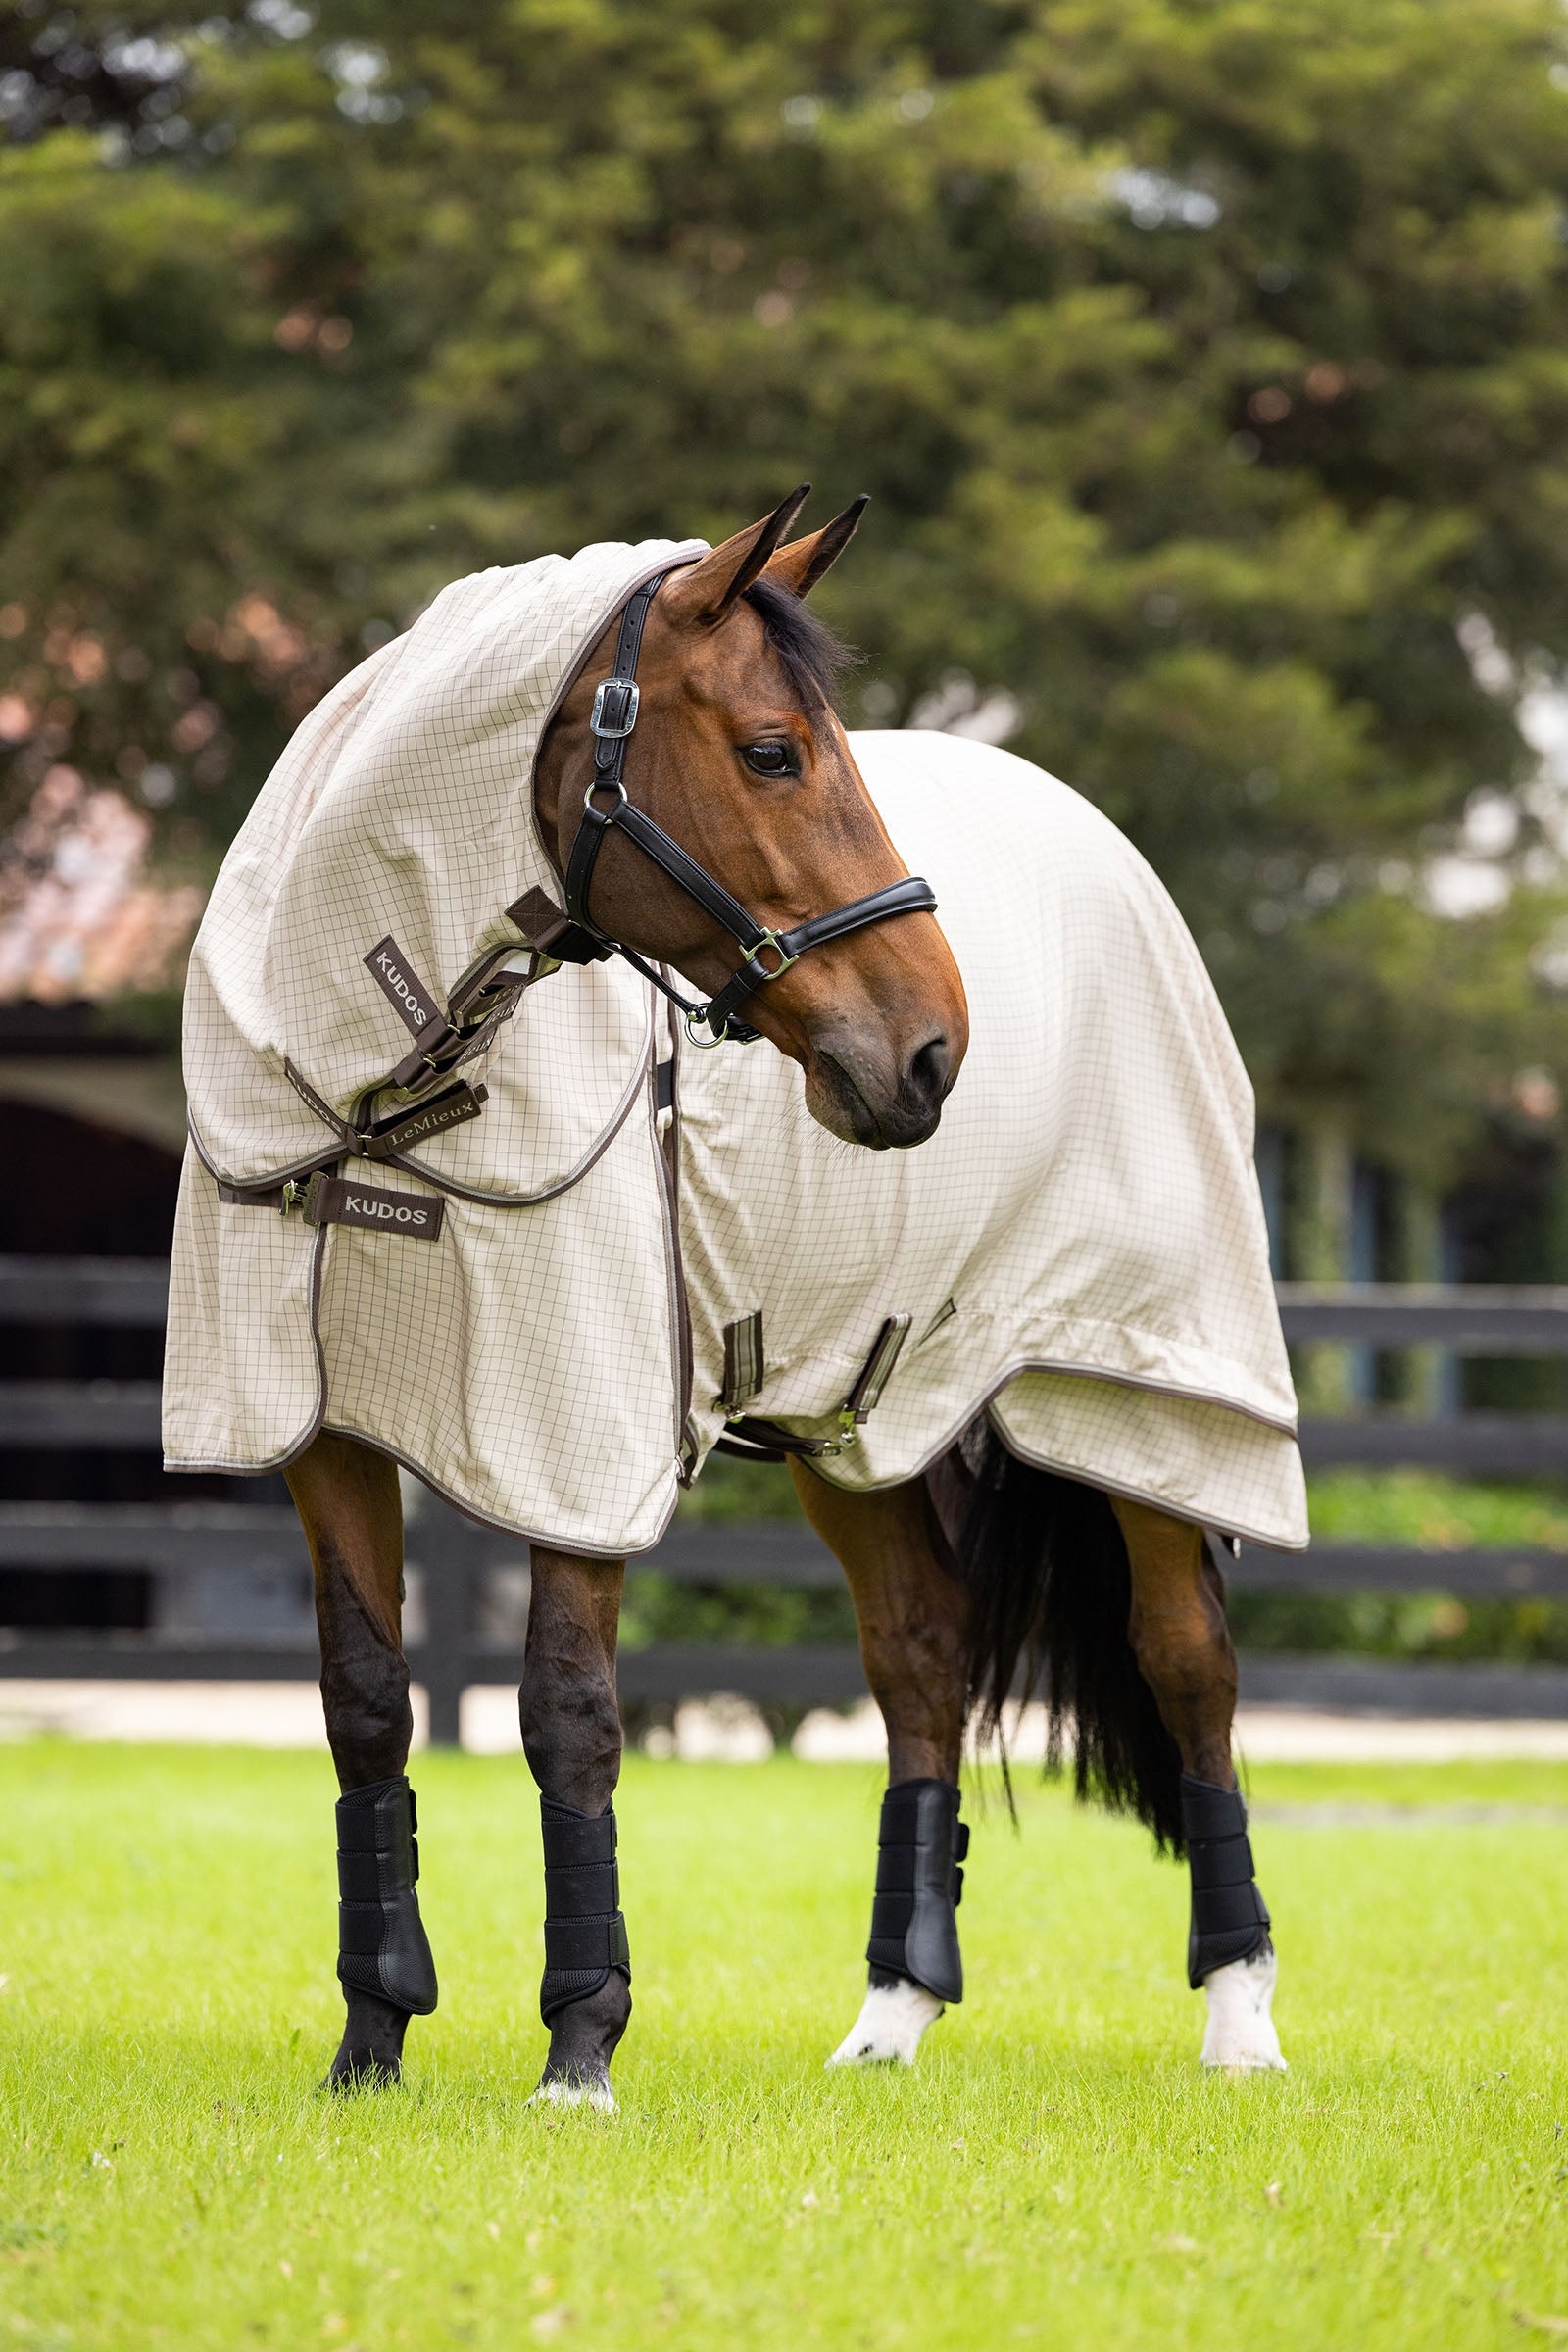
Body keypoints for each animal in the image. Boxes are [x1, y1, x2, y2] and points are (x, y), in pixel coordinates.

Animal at [165, 487, 1301, 2104]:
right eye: (772, 750)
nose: (934, 1048)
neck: (371, 1101)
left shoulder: (578, 1439)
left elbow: (569, 1713)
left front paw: (581, 2045)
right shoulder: (316, 1434)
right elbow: (367, 1707)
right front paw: (370, 2043)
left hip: (1146, 1397)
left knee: (1189, 1665)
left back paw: (1240, 2016)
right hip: (854, 1413)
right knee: (920, 1661)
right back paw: (891, 2015)